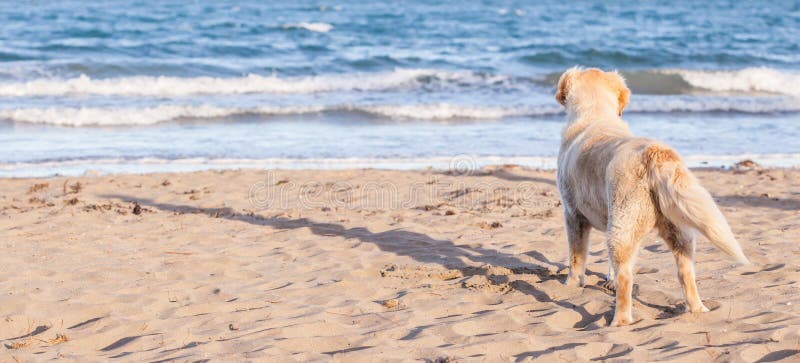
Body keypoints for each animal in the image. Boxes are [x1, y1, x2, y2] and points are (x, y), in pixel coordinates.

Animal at [552, 66, 748, 328]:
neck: (596, 114)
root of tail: (654, 153)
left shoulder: (573, 214)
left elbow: (576, 257)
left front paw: (571, 285)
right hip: (678, 231)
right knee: (686, 273)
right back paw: (697, 309)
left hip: (622, 226)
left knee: (626, 278)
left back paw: (619, 321)